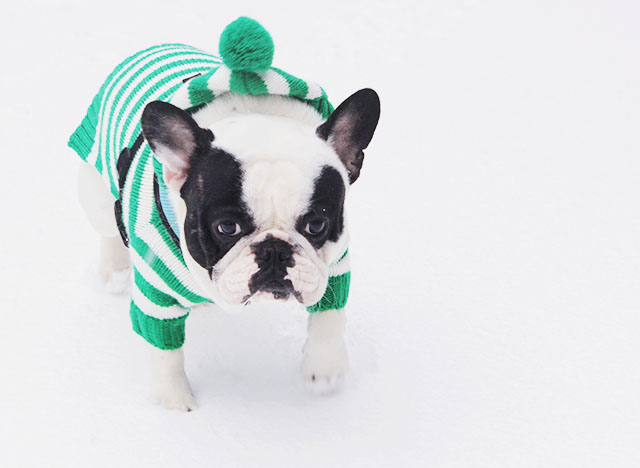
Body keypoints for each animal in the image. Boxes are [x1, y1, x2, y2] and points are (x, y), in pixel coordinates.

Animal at [71, 20, 380, 412]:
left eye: (317, 225)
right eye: (227, 227)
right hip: (95, 194)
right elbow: (164, 349)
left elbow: (330, 315)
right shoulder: (157, 295)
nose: (275, 250)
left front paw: (325, 368)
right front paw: (174, 400)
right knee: (107, 228)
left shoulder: (335, 265)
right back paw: (114, 271)